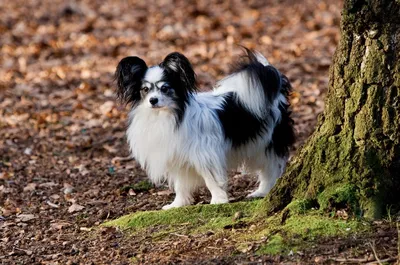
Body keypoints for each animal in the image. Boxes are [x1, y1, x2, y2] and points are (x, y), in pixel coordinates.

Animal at [115, 49, 294, 208]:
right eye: (145, 89)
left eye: (165, 88)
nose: (153, 100)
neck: (166, 116)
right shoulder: (178, 158)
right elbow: (180, 184)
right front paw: (177, 204)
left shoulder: (205, 154)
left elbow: (211, 180)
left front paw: (218, 200)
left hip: (267, 142)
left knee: (271, 167)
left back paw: (263, 191)